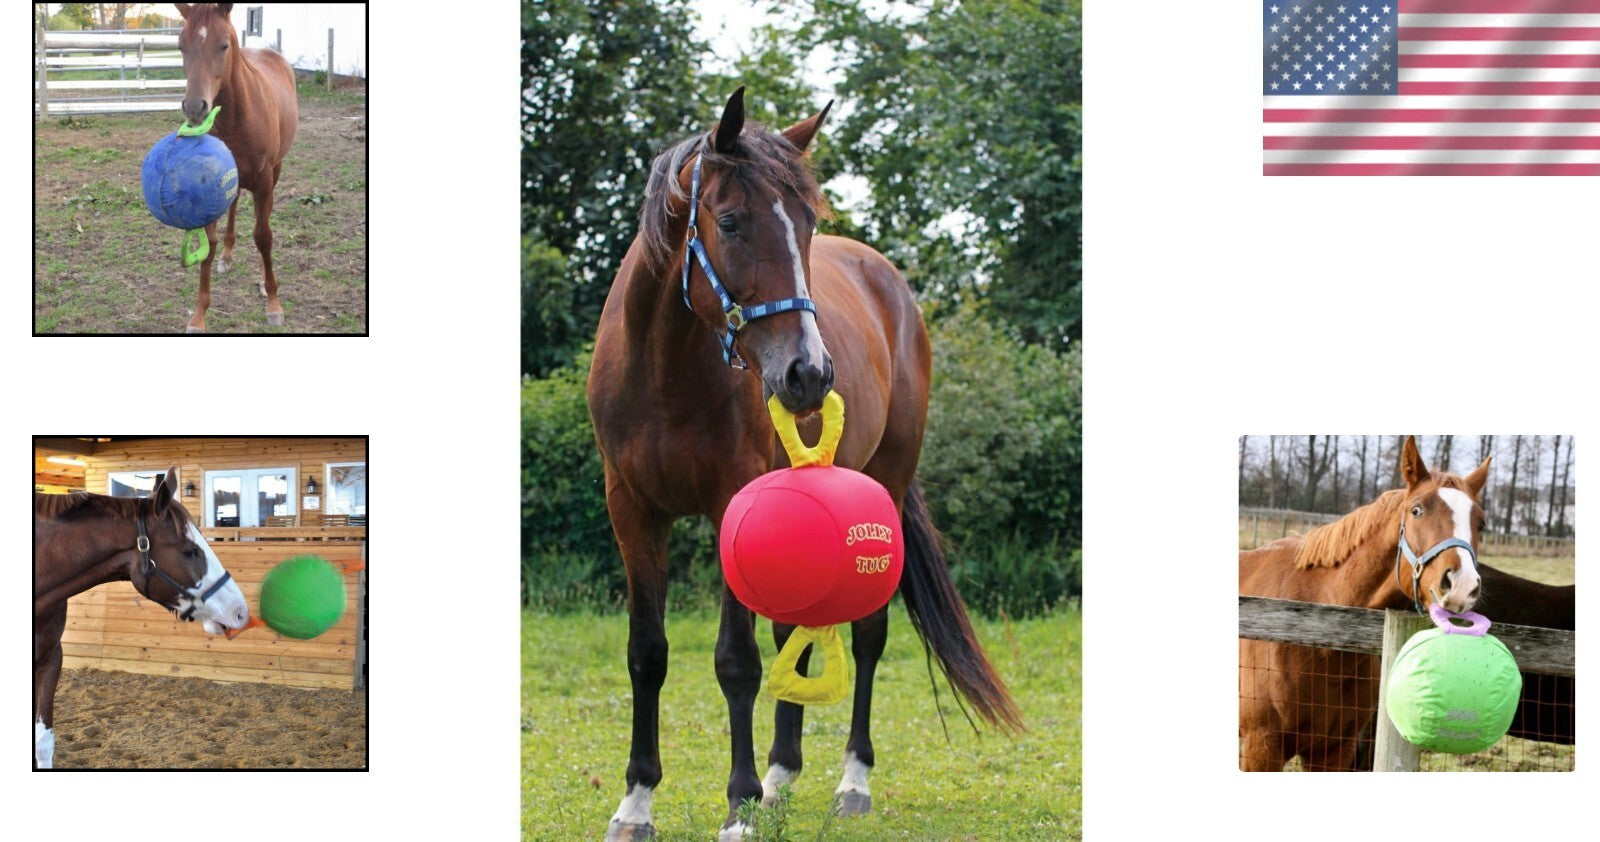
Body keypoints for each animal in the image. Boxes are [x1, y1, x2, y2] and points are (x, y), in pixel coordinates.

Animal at [174, 3, 298, 332]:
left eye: (223, 46)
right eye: (181, 46)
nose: (195, 108)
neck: (238, 119)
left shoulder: (264, 181)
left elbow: (264, 236)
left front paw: (273, 303)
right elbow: (209, 243)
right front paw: (198, 315)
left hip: (275, 171)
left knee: (264, 220)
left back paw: (261, 278)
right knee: (233, 205)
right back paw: (228, 256)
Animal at [586, 88, 1024, 839]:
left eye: (809, 225)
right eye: (730, 221)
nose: (809, 375)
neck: (665, 368)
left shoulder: (730, 503)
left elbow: (736, 660)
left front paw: (736, 808)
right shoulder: (632, 511)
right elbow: (648, 653)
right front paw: (637, 802)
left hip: (886, 485)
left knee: (868, 634)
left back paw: (850, 783)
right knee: (798, 627)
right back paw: (780, 777)